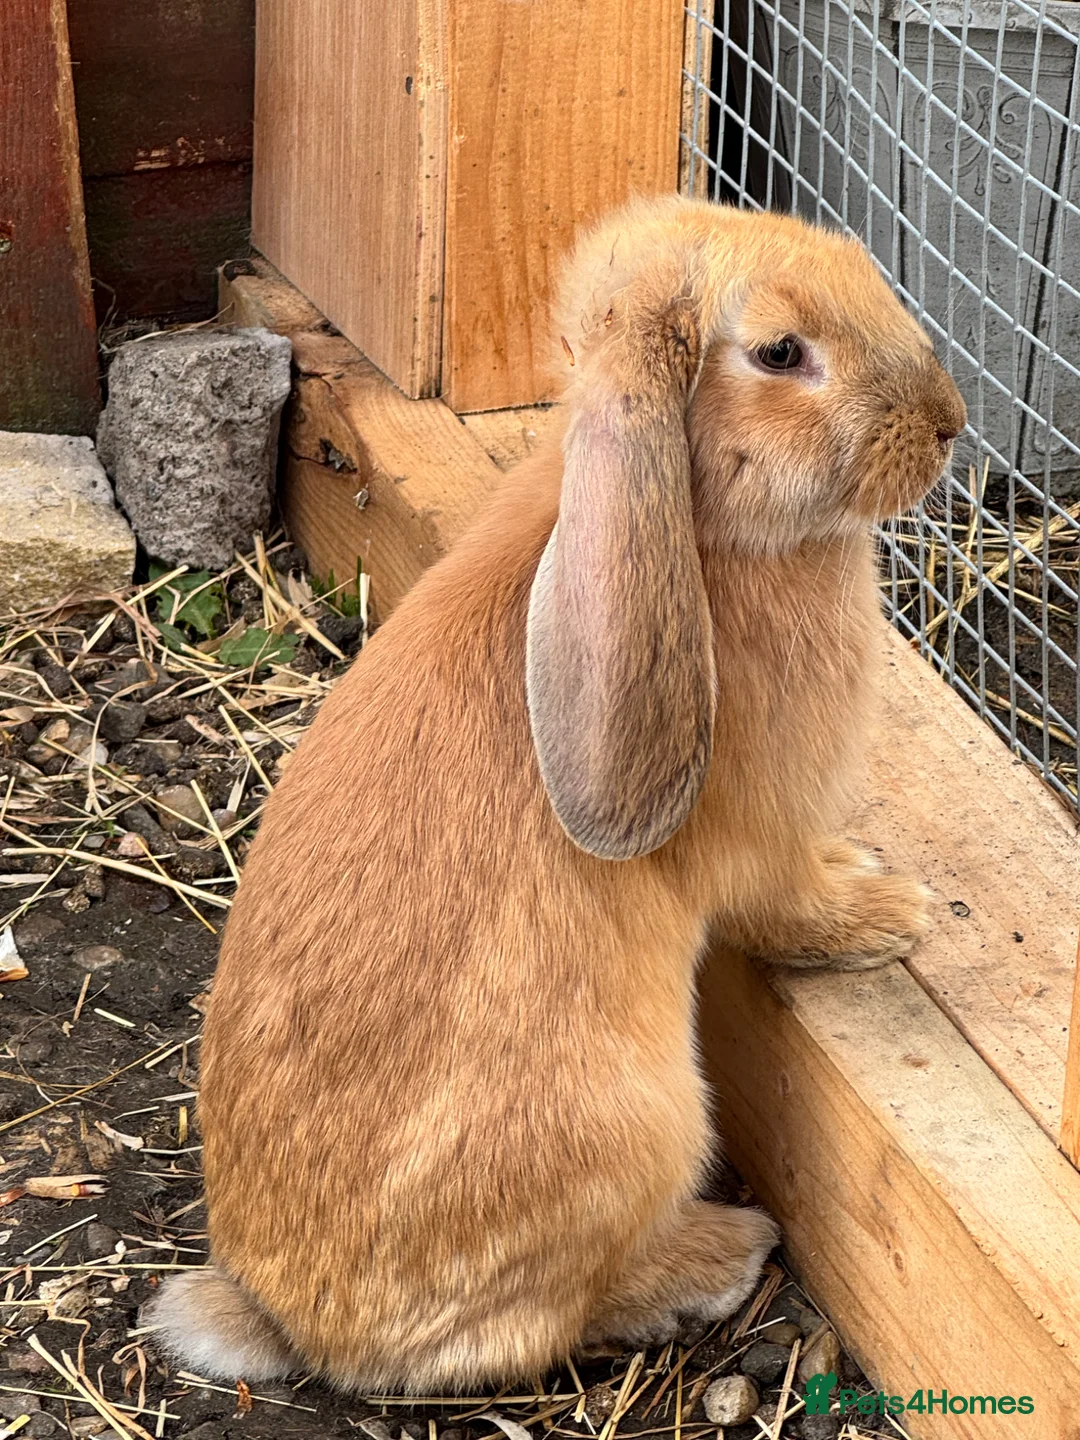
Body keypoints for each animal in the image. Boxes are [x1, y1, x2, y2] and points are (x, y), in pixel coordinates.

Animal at [145, 195, 965, 1393]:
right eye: (780, 353)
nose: (949, 422)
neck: (697, 517)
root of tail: (293, 1321)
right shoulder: (765, 836)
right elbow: (792, 905)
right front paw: (892, 914)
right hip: (639, 1126)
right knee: (542, 1322)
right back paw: (715, 1258)